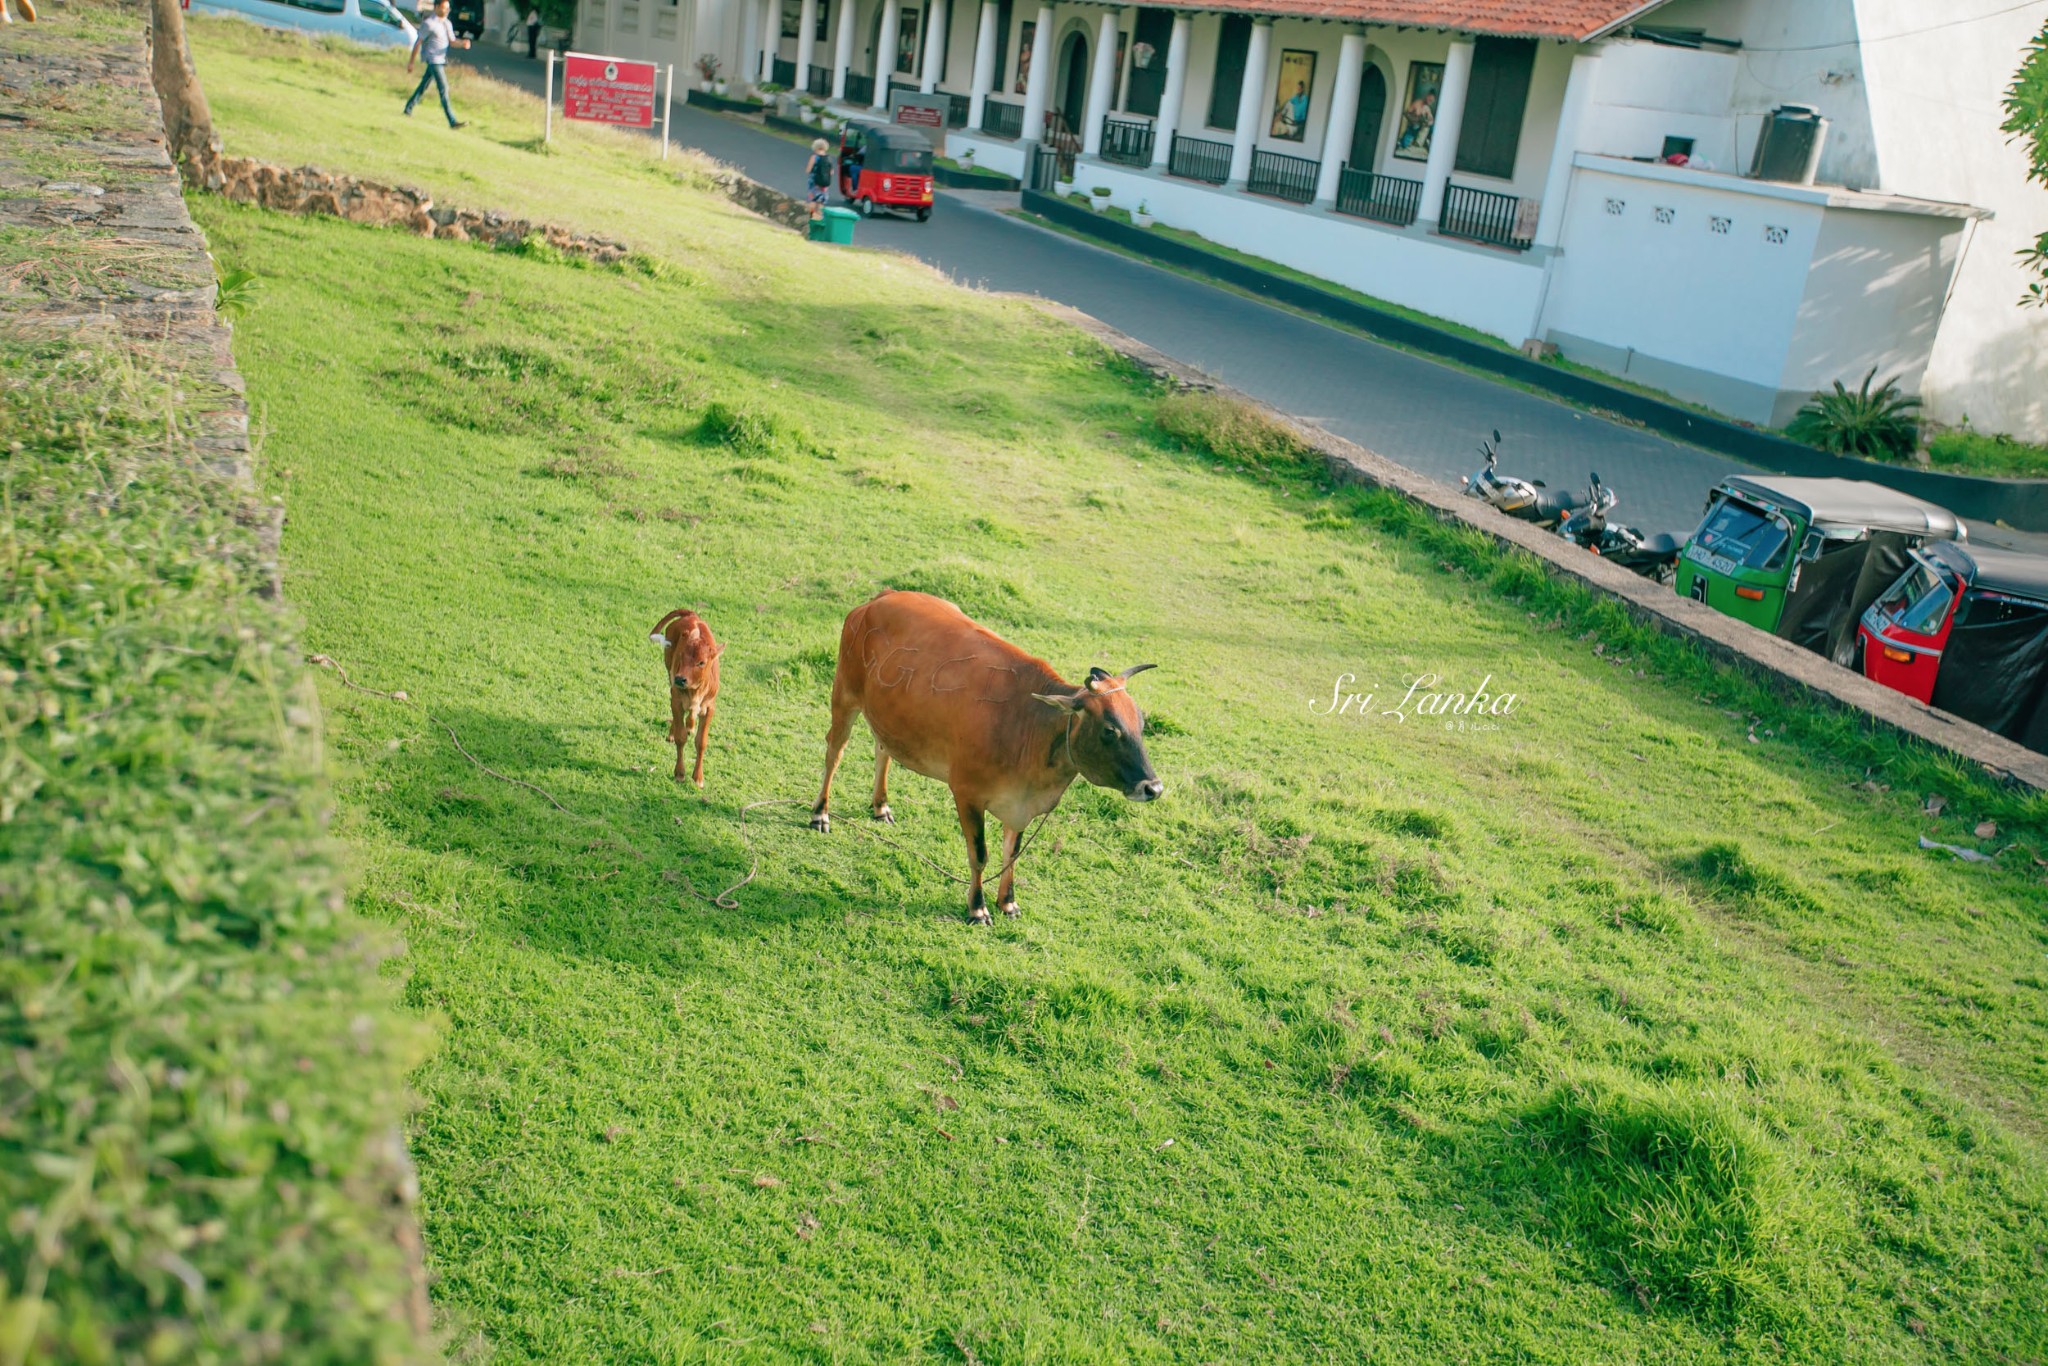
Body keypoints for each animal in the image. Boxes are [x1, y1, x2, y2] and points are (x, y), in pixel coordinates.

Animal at [655, 610, 729, 790]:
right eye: (682, 655)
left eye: (701, 662)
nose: (680, 679)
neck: (695, 691)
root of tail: (691, 614)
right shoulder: (676, 700)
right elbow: (681, 737)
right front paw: (680, 773)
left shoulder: (709, 708)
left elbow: (701, 742)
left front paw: (698, 777)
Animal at [806, 589, 1163, 925]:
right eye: (1109, 730)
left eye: (1141, 724)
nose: (1154, 788)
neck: (1029, 726)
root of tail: (882, 596)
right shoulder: (967, 793)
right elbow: (979, 853)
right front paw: (977, 909)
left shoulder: (1020, 804)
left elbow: (1012, 853)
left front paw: (1008, 902)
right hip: (844, 693)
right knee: (834, 753)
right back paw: (820, 813)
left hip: (888, 714)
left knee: (883, 750)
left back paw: (880, 806)